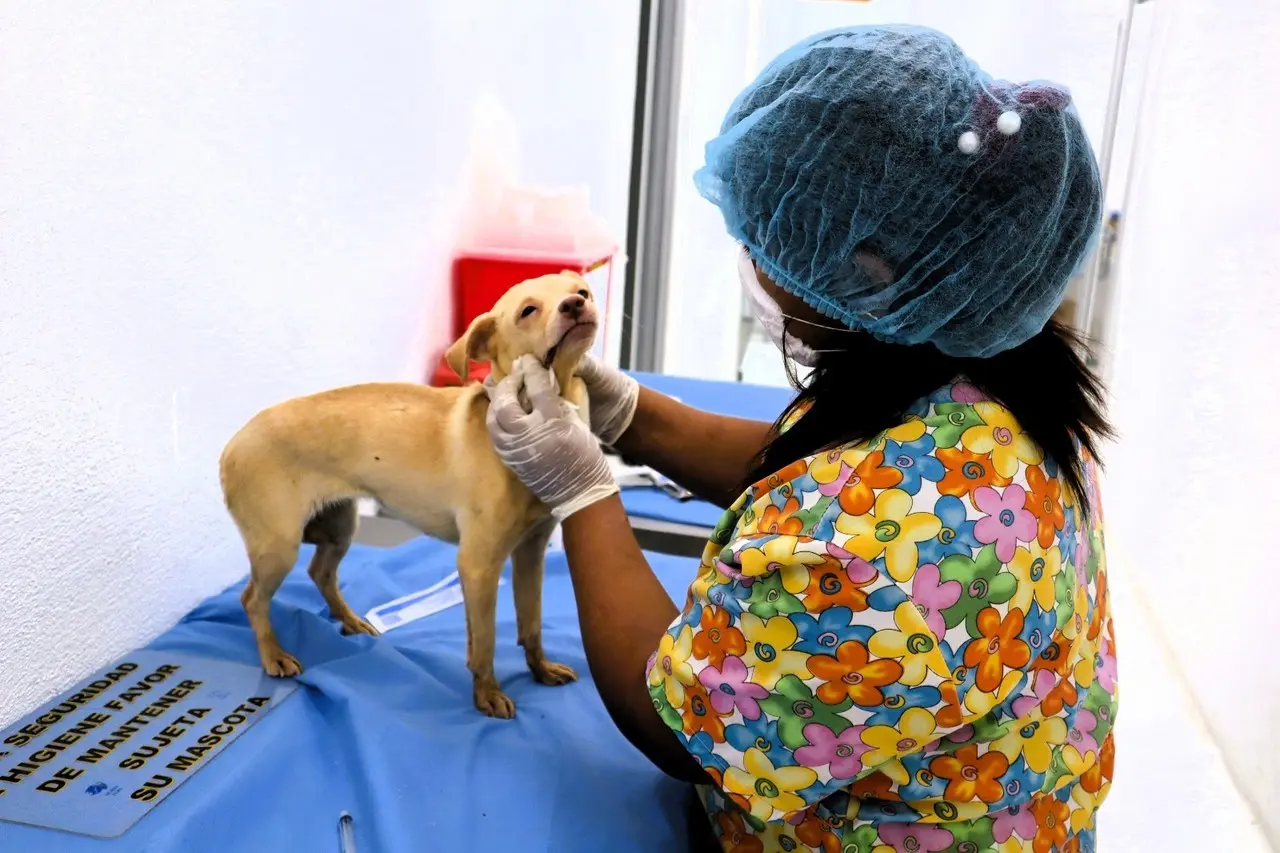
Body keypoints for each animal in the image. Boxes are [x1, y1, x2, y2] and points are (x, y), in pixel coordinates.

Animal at [220, 270, 599, 712]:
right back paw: (273, 655)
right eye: (528, 310)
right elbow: (485, 642)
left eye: (582, 291)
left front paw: (540, 669)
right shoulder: (478, 563)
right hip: (279, 546)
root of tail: (233, 444)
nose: (575, 305)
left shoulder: (530, 551)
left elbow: (531, 621)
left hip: (340, 525)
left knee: (320, 572)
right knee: (252, 600)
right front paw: (487, 693)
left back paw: (349, 620)